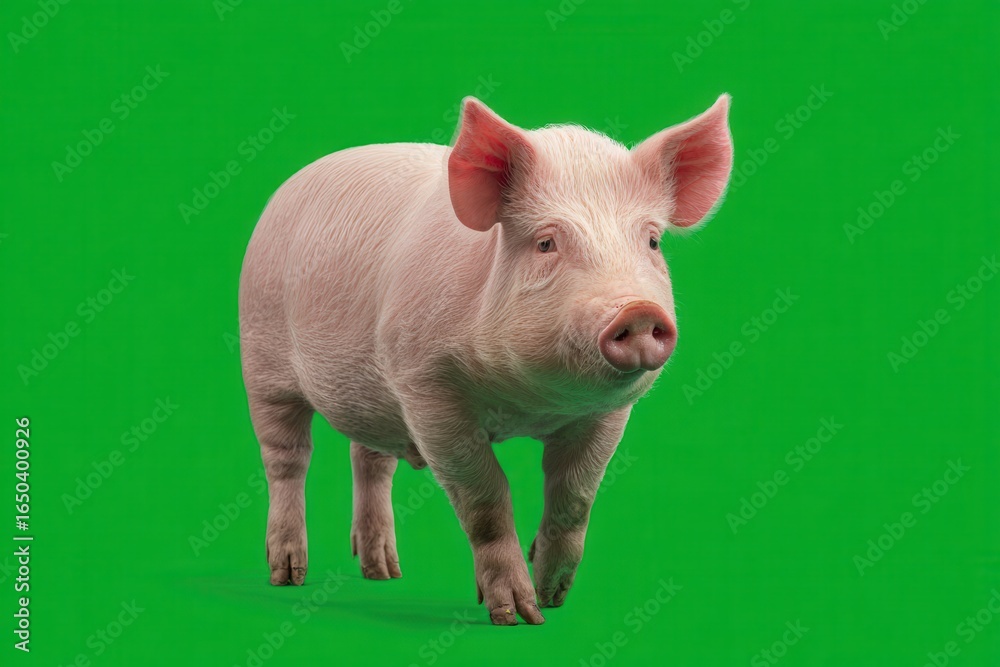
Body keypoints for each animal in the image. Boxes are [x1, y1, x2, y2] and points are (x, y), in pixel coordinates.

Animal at [239, 95, 733, 625]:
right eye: (546, 242)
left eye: (652, 241)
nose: (638, 311)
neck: (527, 405)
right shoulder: (425, 385)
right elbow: (485, 497)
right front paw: (517, 616)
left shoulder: (608, 412)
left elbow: (576, 494)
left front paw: (553, 598)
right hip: (262, 359)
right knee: (287, 458)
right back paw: (288, 576)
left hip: (371, 395)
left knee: (370, 461)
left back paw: (385, 573)